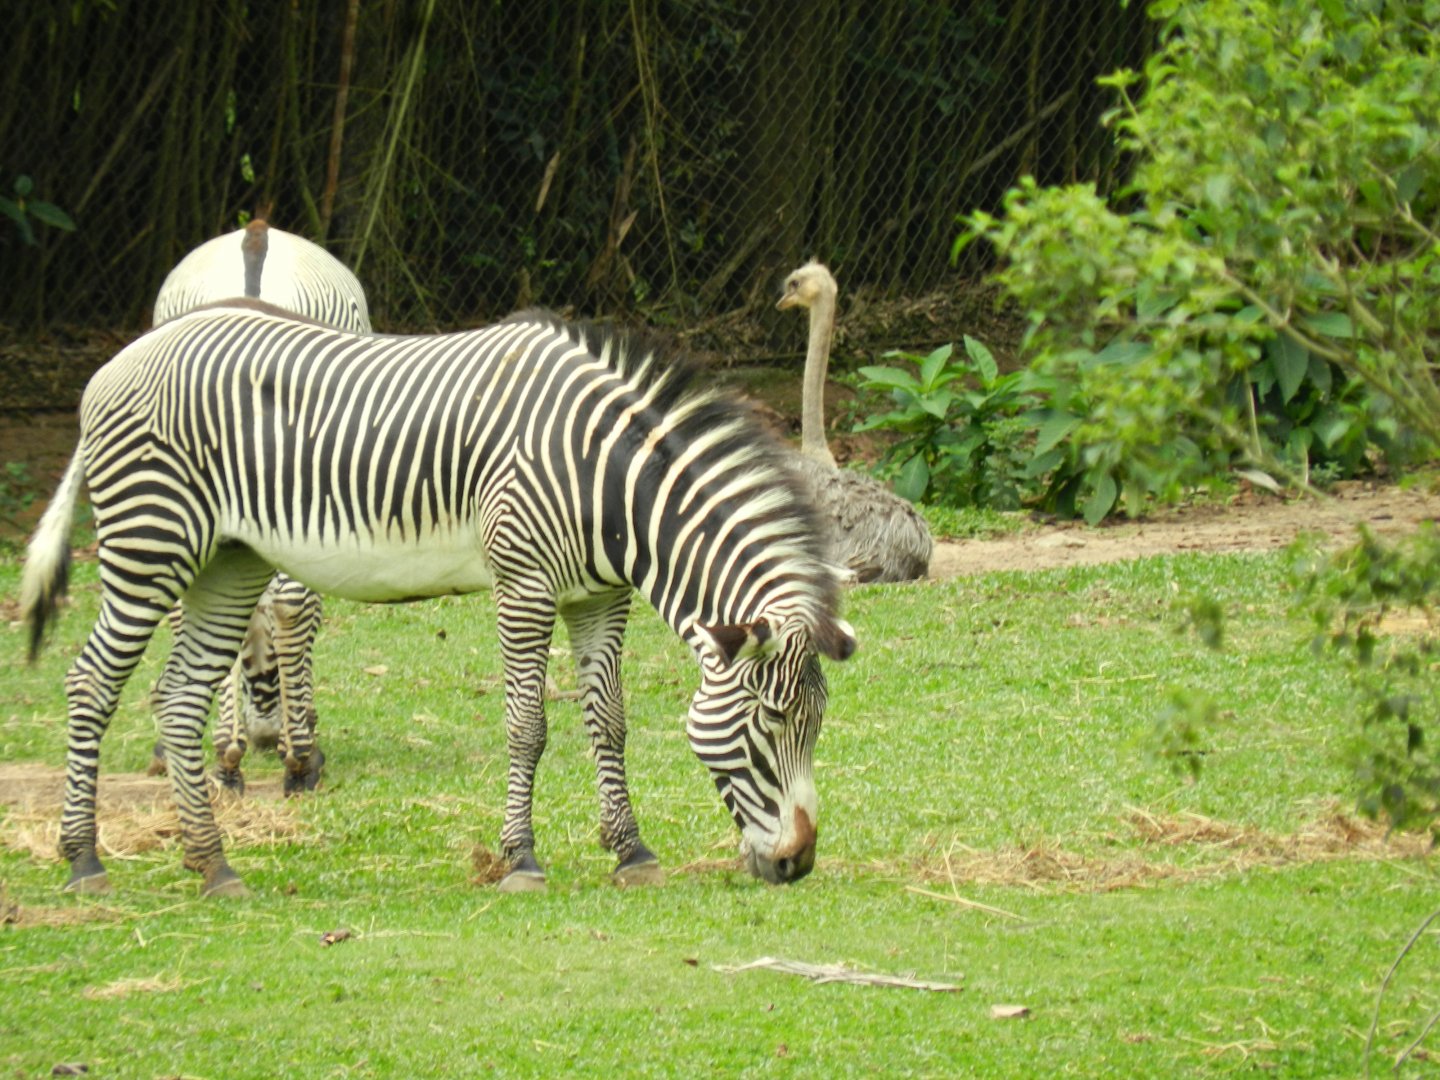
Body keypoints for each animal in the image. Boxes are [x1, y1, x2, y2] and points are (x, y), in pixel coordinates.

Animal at [20, 303, 857, 898]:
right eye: (769, 723)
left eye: (816, 725)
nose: (798, 864)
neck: (610, 481)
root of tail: (116, 362)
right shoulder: (524, 583)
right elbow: (528, 726)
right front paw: (521, 859)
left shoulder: (599, 598)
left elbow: (609, 724)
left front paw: (631, 850)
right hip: (150, 542)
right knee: (91, 682)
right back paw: (85, 859)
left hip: (228, 560)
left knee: (179, 697)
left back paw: (212, 865)